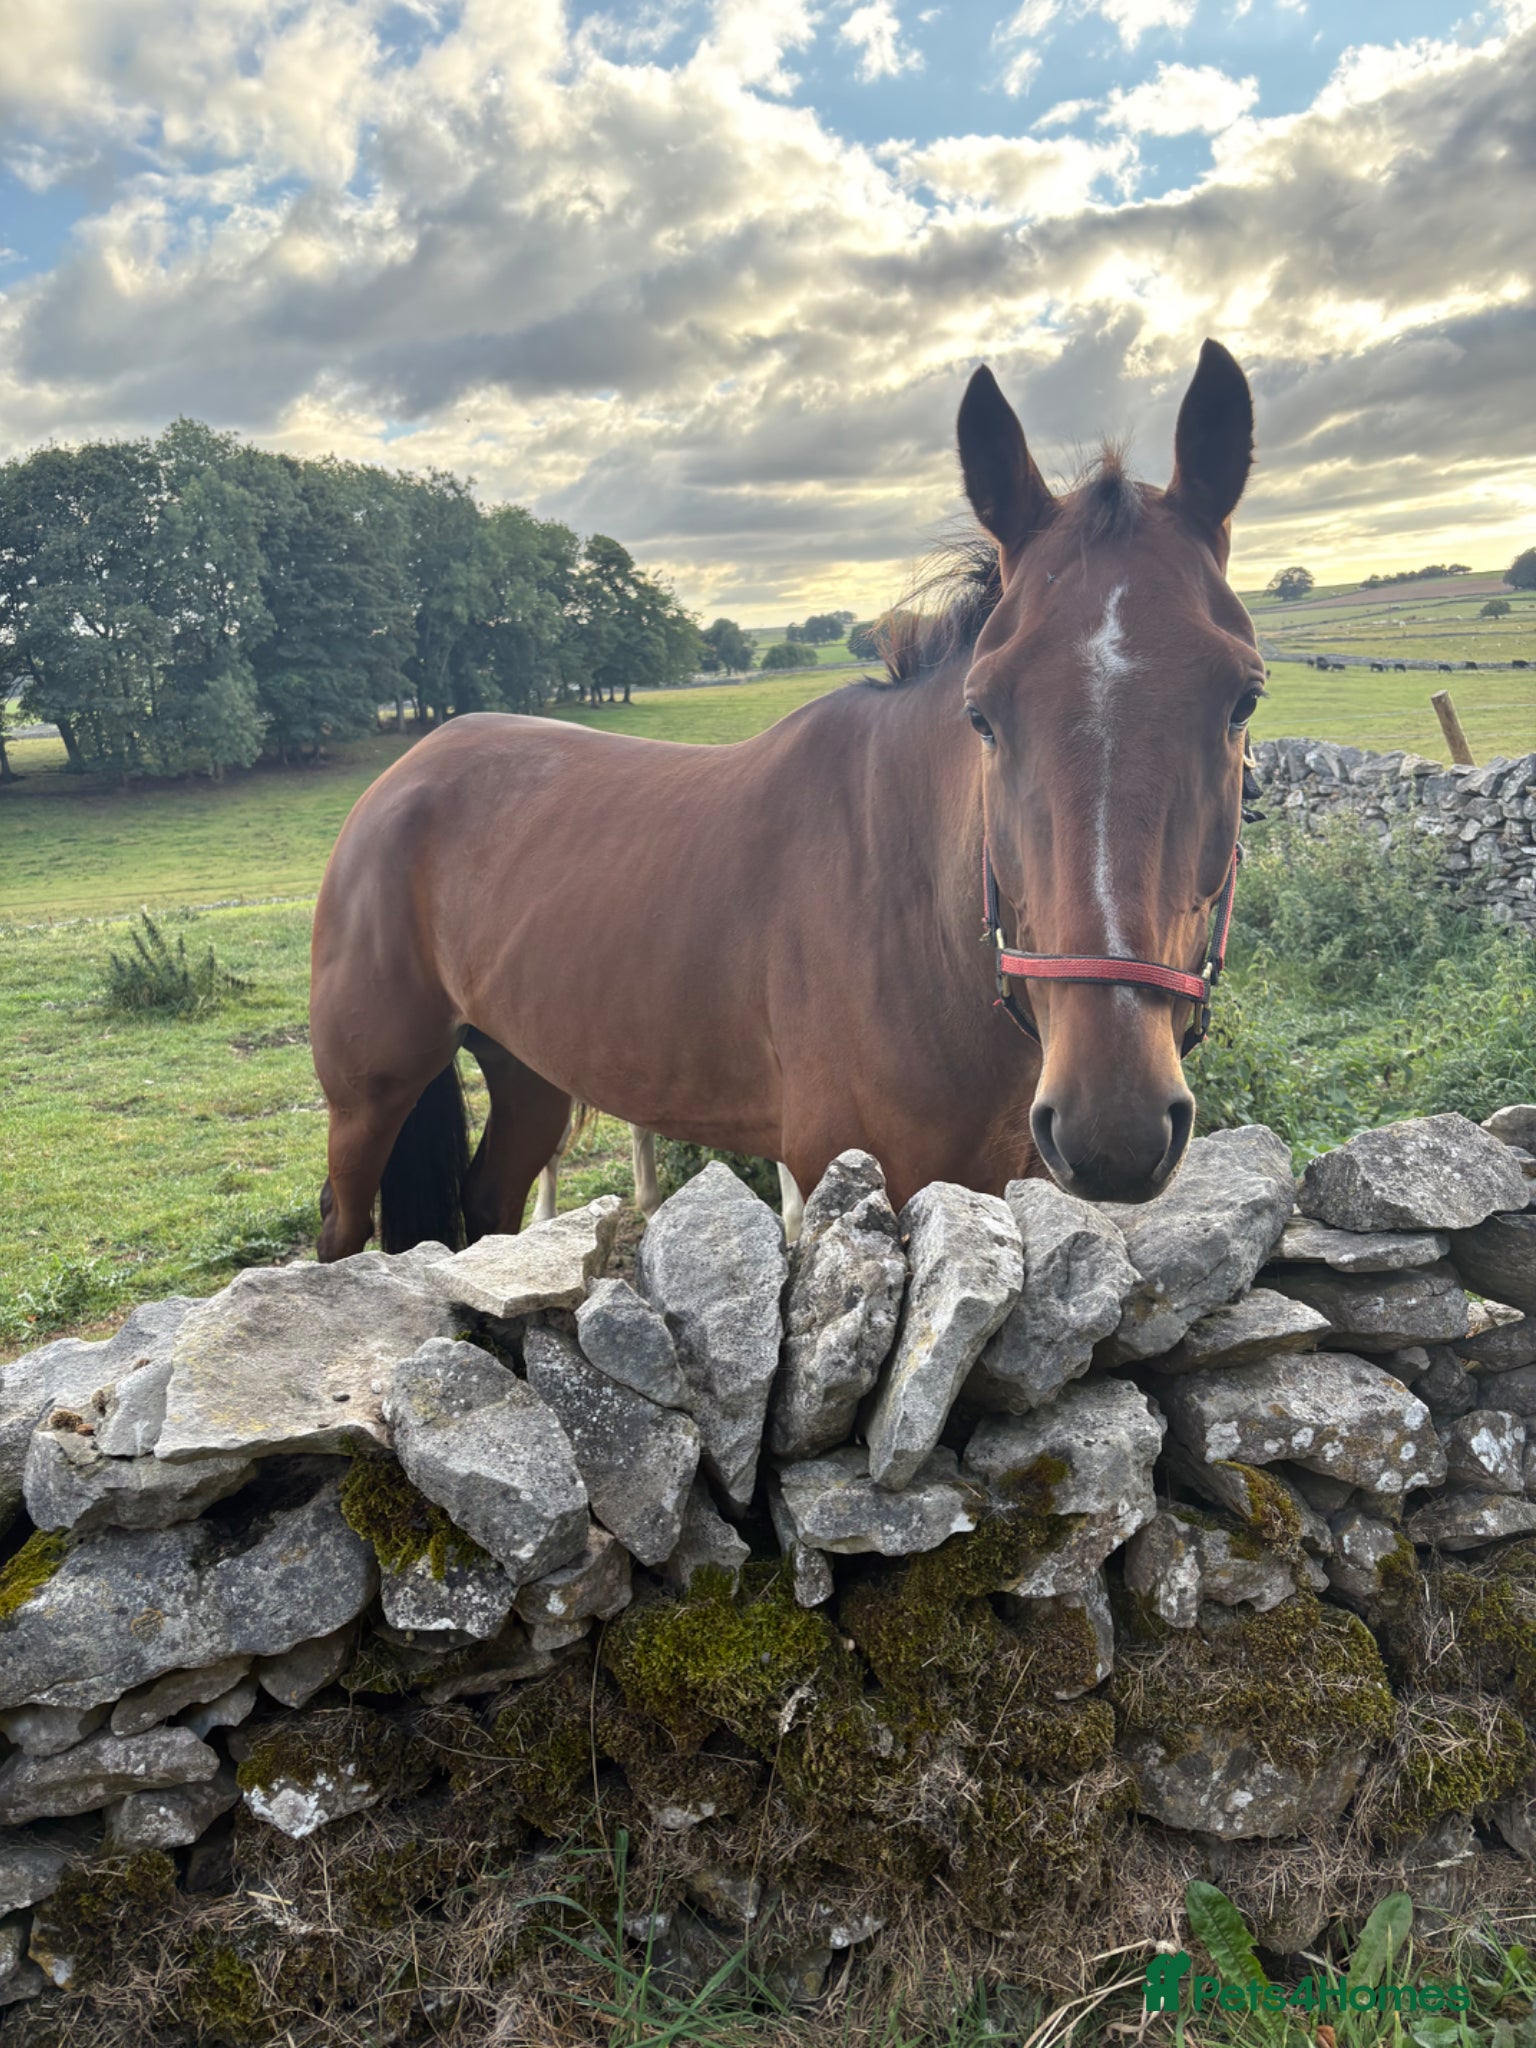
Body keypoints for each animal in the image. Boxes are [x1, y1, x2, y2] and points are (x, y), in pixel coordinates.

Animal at [309, 339, 1261, 1260]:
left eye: (1244, 699)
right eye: (982, 714)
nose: (1115, 1122)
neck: (914, 916)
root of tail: (398, 778)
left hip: (527, 1070)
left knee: (491, 1201)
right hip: (369, 1097)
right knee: (343, 1224)